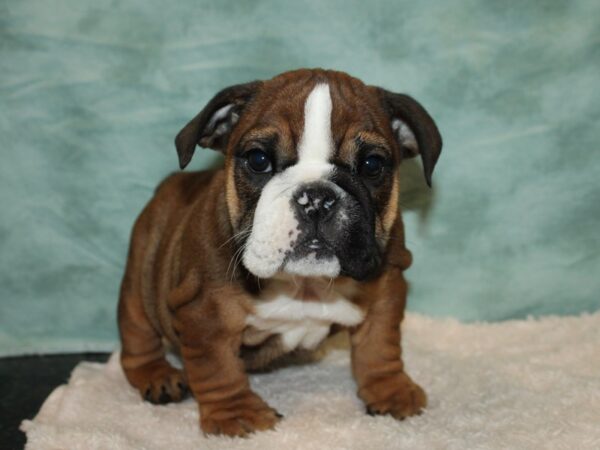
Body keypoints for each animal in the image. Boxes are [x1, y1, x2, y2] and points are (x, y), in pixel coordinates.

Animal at [117, 68, 440, 438]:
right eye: (258, 160)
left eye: (372, 165)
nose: (317, 198)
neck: (305, 285)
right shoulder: (204, 314)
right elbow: (217, 368)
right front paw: (236, 413)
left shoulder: (387, 287)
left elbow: (380, 345)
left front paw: (390, 390)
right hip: (140, 279)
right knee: (138, 337)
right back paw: (158, 375)